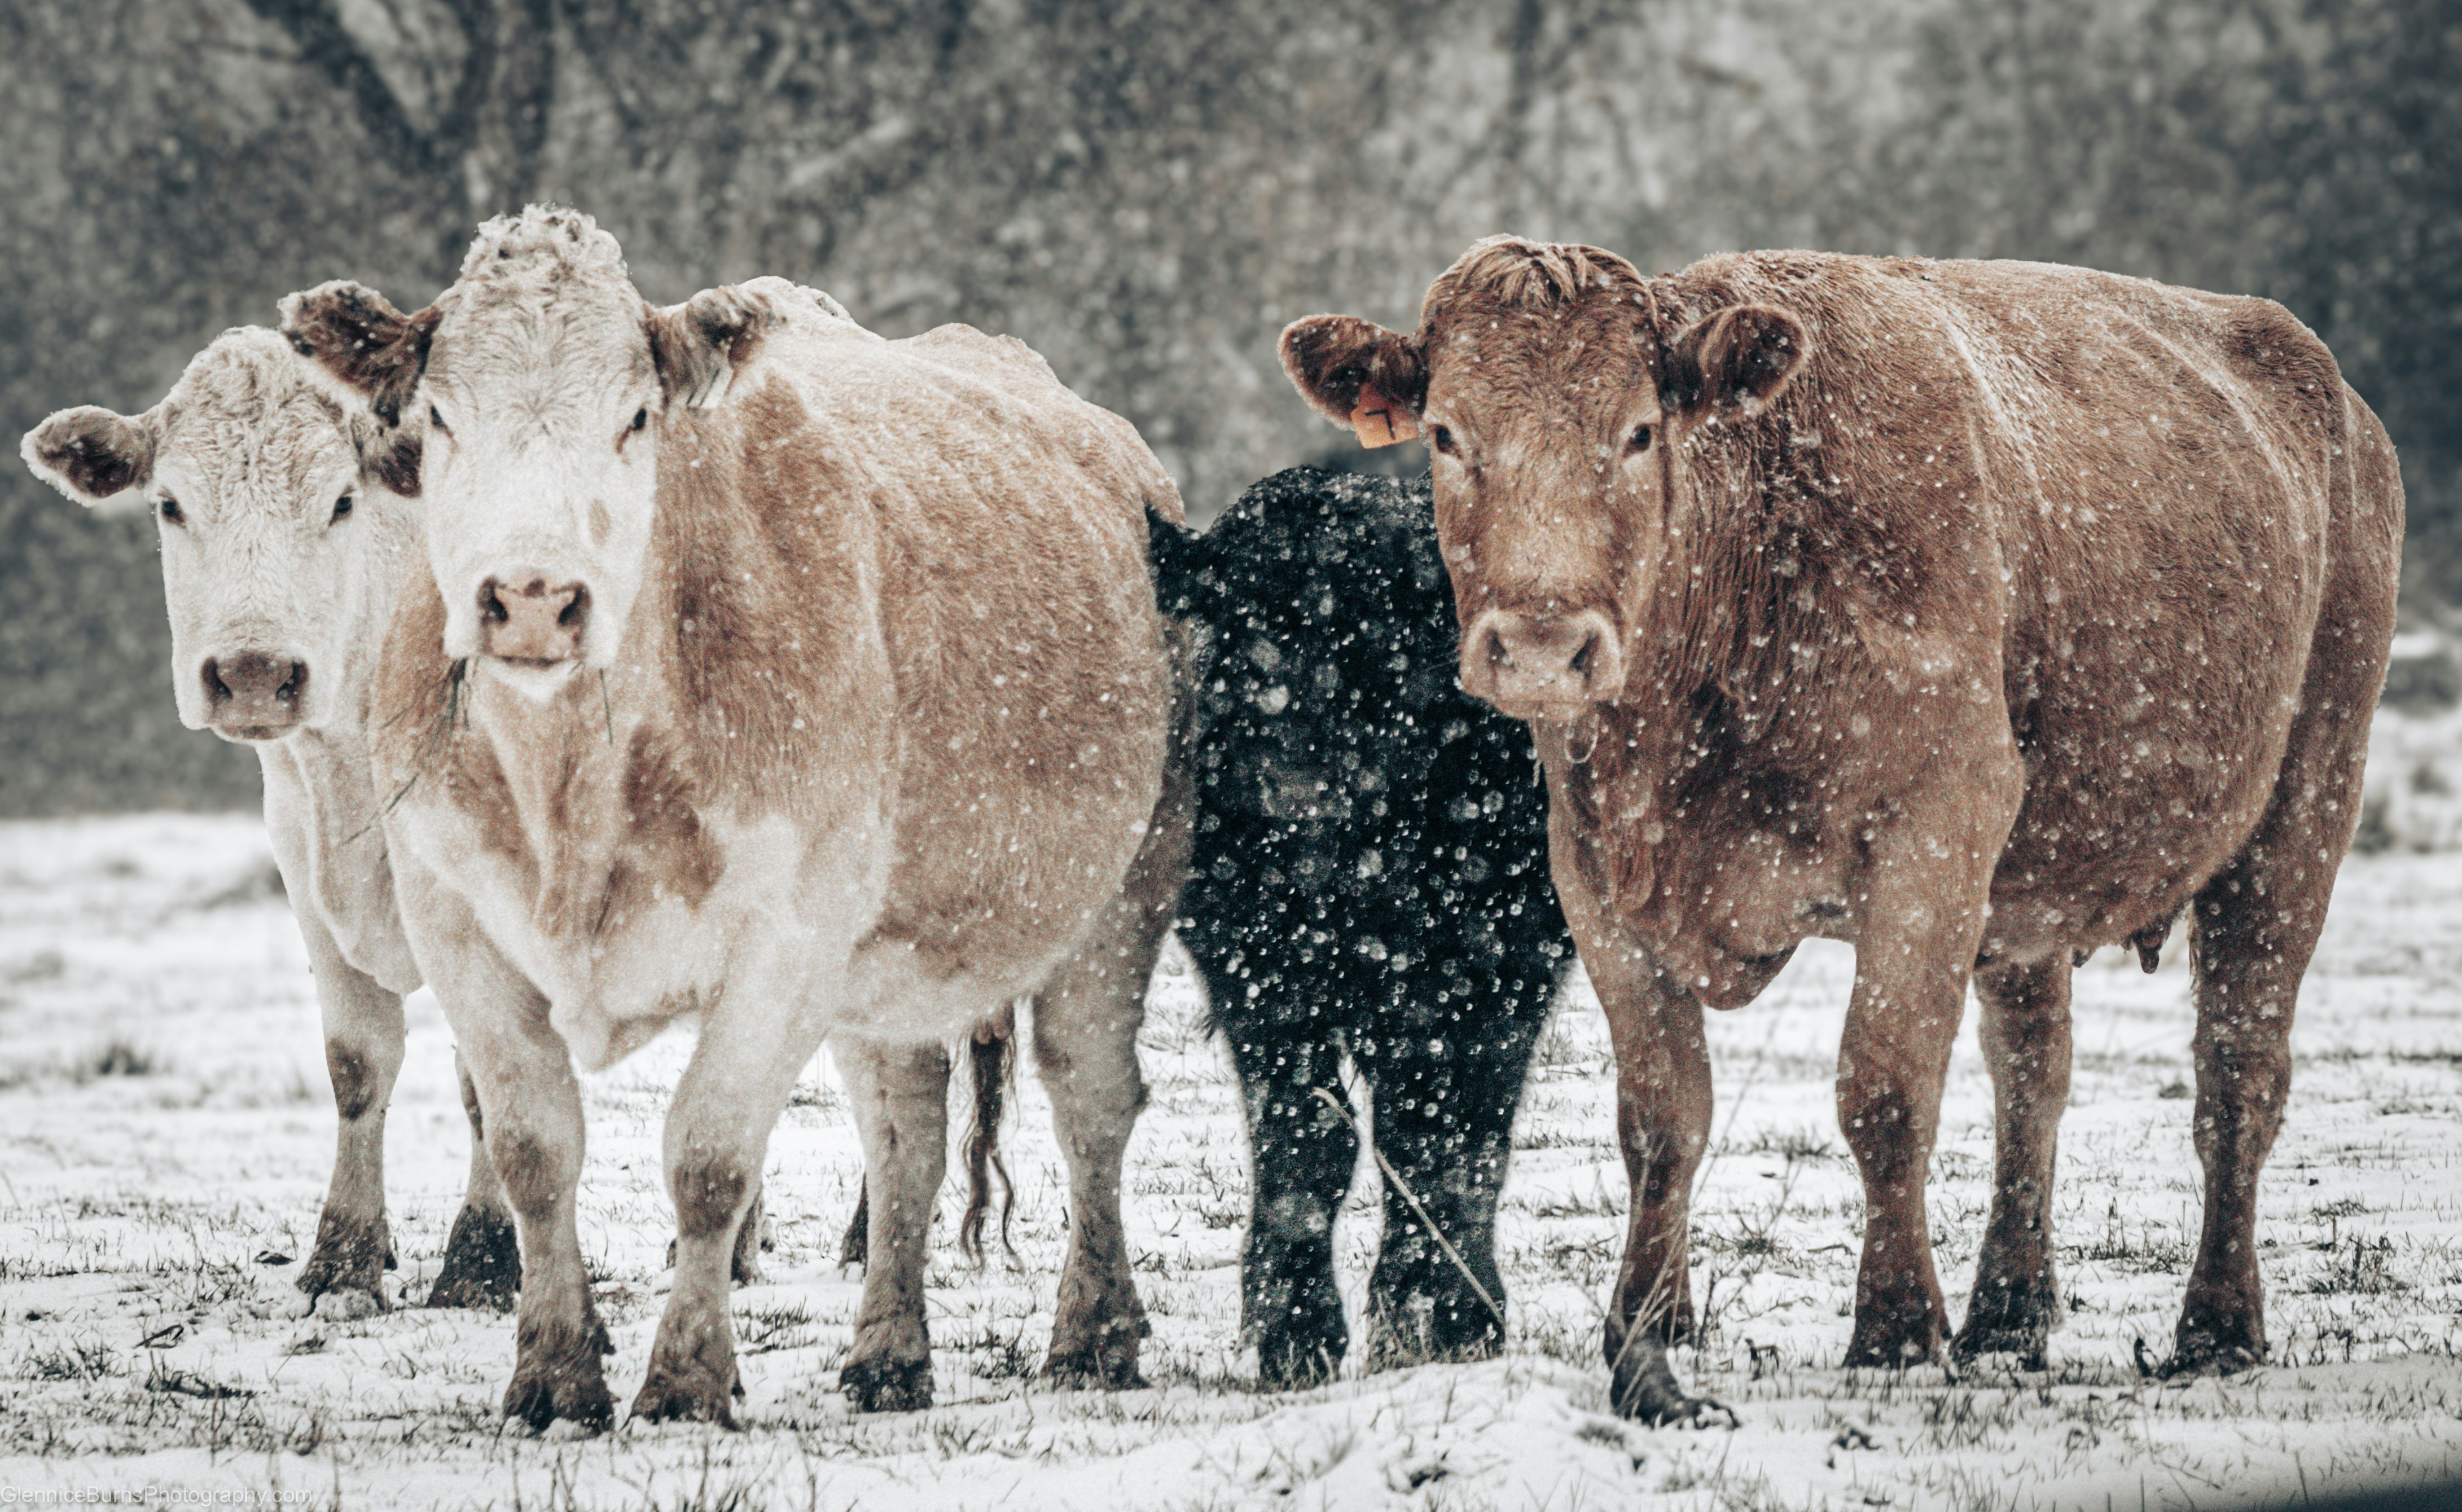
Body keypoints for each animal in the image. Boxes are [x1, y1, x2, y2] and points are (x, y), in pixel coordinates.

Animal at [19, 329, 531, 1318]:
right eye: (171, 504)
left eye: (342, 501)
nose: (254, 672)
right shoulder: (305, 879)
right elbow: (357, 1064)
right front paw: (345, 1260)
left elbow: (486, 1073)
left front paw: (481, 1264)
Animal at [280, 204, 1189, 1430]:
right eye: (440, 419)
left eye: (635, 419)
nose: (530, 598)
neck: (575, 785)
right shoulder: (454, 915)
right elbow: (532, 1147)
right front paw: (553, 1375)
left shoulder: (786, 932)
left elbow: (709, 1158)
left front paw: (685, 1381)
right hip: (886, 951)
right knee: (904, 1131)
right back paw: (888, 1353)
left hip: (1123, 892)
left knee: (1089, 1097)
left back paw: (1093, 1332)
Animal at [1146, 467, 1573, 1386]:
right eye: (1235, 621)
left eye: (1381, 640)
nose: (1286, 775)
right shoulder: (1254, 976)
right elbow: (1306, 1142)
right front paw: (1293, 1332)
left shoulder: (1493, 979)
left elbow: (1439, 1143)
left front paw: (1431, 1323)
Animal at [1279, 238, 2402, 1420]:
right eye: (1446, 435)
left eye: (1638, 431)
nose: (1542, 646)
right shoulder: (1596, 879)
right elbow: (1661, 1116)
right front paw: (1642, 1337)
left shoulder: (1933, 837)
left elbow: (1883, 1090)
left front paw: (1897, 1331)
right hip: (2029, 889)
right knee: (2032, 1075)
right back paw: (2006, 1317)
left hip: (2301, 809)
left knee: (2237, 1069)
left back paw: (2217, 1327)